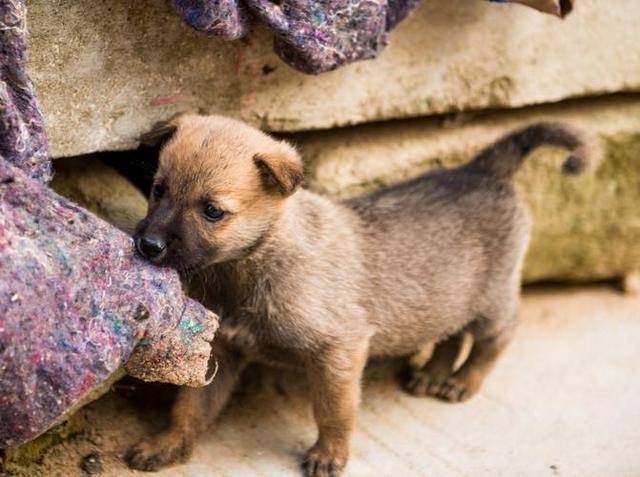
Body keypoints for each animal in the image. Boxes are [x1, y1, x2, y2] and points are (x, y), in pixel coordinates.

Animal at [125, 113, 596, 474]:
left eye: (212, 211)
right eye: (158, 189)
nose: (148, 245)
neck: (256, 261)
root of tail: (484, 169)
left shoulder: (339, 349)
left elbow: (334, 410)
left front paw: (330, 453)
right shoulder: (221, 351)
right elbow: (190, 407)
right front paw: (168, 443)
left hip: (493, 299)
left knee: (496, 337)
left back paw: (463, 381)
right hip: (450, 297)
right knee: (451, 333)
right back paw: (433, 375)